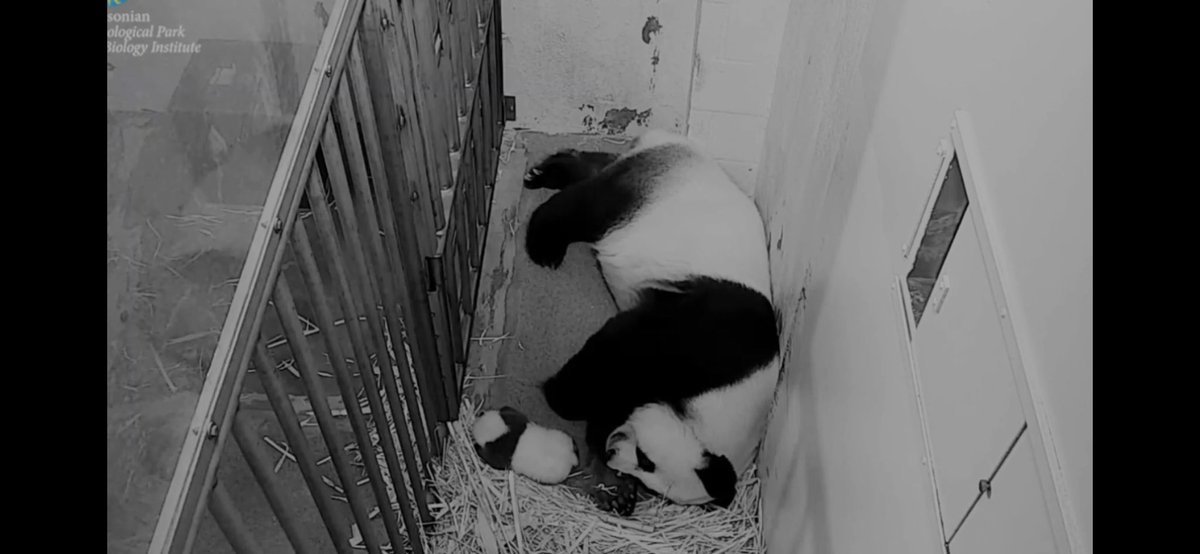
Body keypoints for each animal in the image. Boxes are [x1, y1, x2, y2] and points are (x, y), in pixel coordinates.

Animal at [523, 129, 781, 515]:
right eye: (647, 459)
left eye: (649, 476)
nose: (614, 456)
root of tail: (665, 142)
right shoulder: (708, 340)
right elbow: (620, 351)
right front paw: (561, 396)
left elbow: (618, 395)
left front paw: (616, 486)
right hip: (642, 202)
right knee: (584, 206)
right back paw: (544, 243)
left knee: (596, 171)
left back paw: (551, 169)